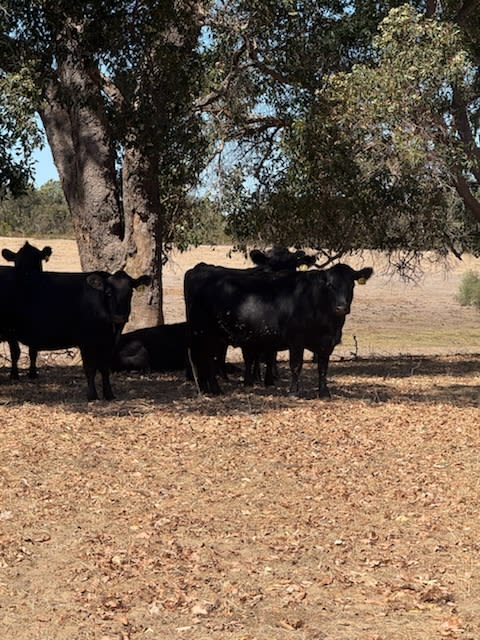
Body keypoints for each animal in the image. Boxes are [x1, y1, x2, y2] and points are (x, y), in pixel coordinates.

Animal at [0, 242, 52, 379]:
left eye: (36, 262)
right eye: (17, 264)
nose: (28, 277)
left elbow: (33, 351)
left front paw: (33, 373)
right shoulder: (10, 328)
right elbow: (15, 352)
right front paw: (14, 374)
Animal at [7, 266, 150, 401]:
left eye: (130, 292)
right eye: (108, 293)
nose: (119, 317)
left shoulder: (108, 343)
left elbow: (105, 368)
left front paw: (109, 395)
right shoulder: (86, 342)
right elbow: (90, 368)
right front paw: (92, 395)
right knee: (15, 353)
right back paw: (14, 376)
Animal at [184, 262, 372, 397]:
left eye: (351, 285)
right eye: (330, 285)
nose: (341, 307)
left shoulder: (327, 343)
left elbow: (323, 367)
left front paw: (324, 393)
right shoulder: (296, 340)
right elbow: (296, 365)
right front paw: (293, 392)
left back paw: (207, 389)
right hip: (205, 333)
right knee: (207, 359)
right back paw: (215, 390)